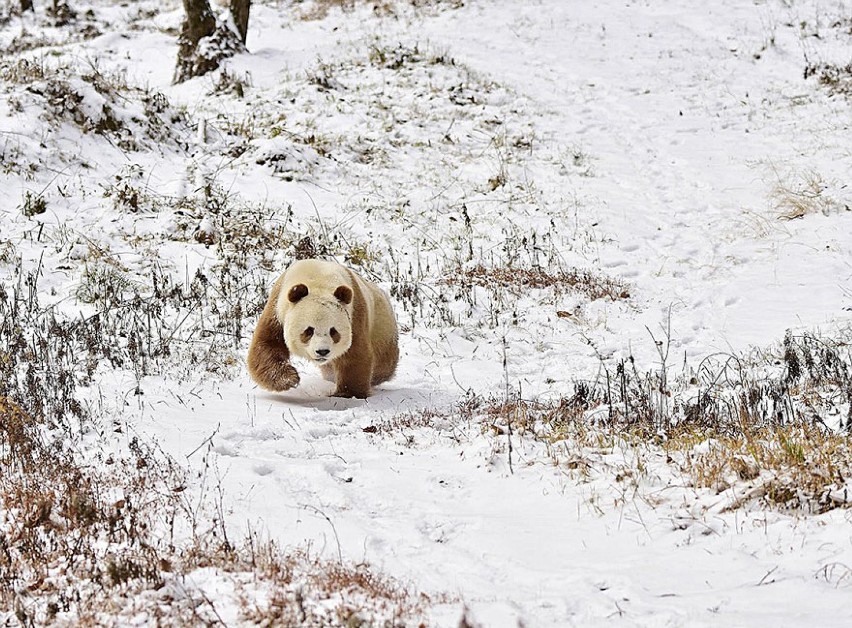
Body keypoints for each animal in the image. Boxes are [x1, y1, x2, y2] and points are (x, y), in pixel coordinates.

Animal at [246, 258, 400, 398]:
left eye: (333, 331)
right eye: (309, 330)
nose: (322, 351)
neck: (317, 278)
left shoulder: (354, 313)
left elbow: (355, 354)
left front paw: (347, 393)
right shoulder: (277, 309)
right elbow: (266, 345)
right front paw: (289, 379)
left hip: (381, 328)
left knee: (383, 364)